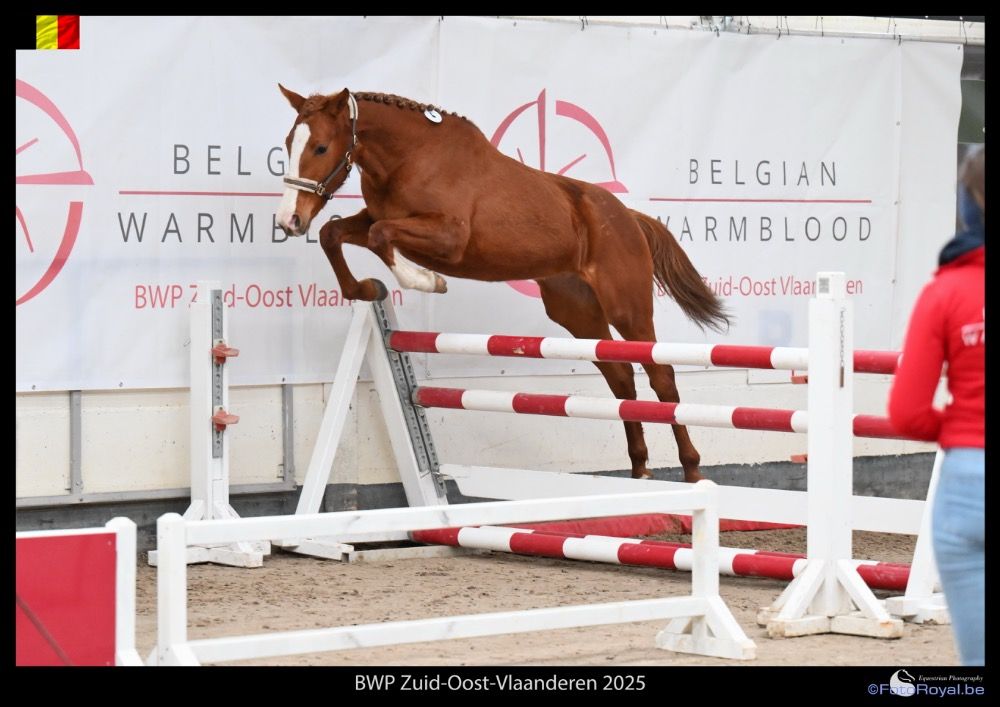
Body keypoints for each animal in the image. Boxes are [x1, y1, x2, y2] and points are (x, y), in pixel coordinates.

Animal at [276, 86, 730, 483]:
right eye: (287, 143)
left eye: (320, 147)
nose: (289, 221)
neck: (410, 157)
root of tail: (628, 217)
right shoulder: (376, 216)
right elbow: (336, 234)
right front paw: (366, 290)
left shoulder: (450, 238)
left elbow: (379, 235)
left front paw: (427, 281)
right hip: (576, 311)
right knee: (619, 376)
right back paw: (640, 470)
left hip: (627, 306)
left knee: (661, 376)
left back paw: (692, 470)